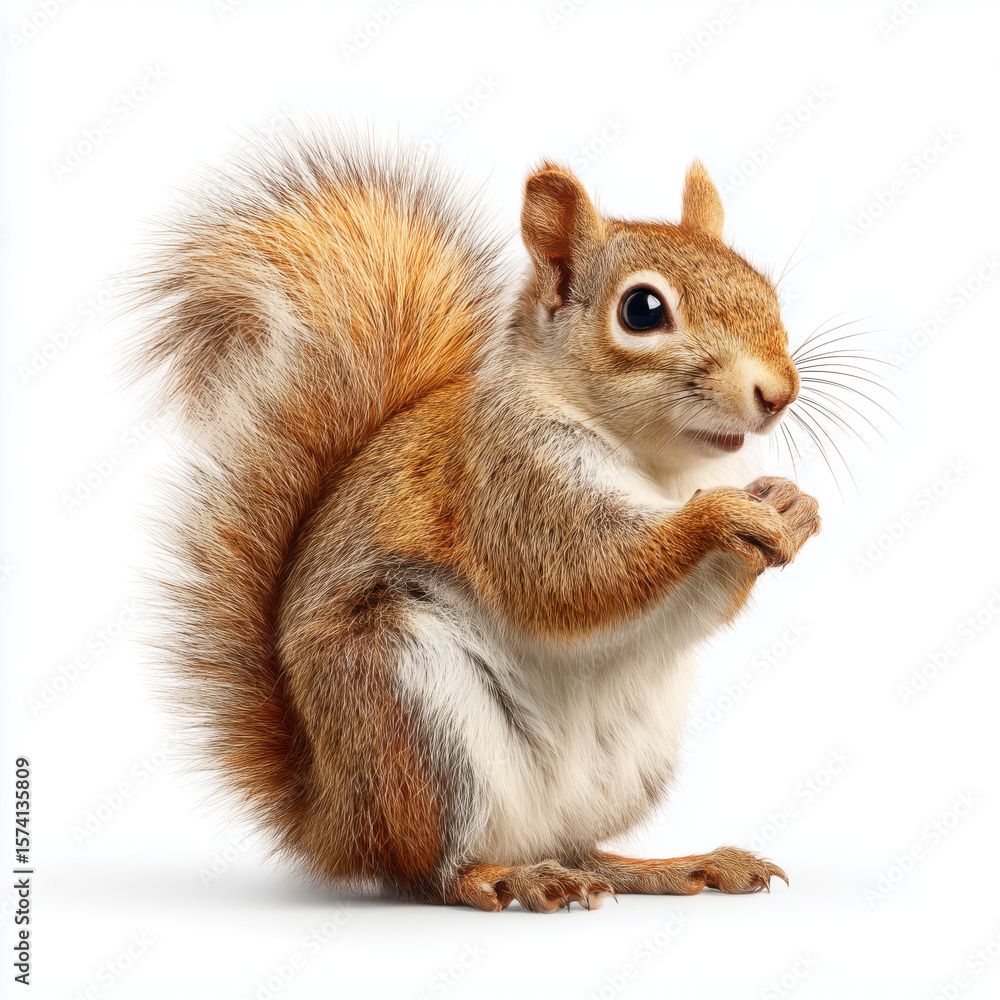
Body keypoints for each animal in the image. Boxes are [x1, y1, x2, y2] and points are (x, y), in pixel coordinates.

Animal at [128, 125, 820, 913]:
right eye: (642, 310)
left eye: (765, 288)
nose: (779, 392)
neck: (661, 466)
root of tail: (331, 816)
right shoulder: (508, 484)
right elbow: (581, 573)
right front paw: (716, 518)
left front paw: (792, 507)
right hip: (412, 716)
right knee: (433, 868)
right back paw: (511, 878)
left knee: (579, 847)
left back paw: (668, 867)